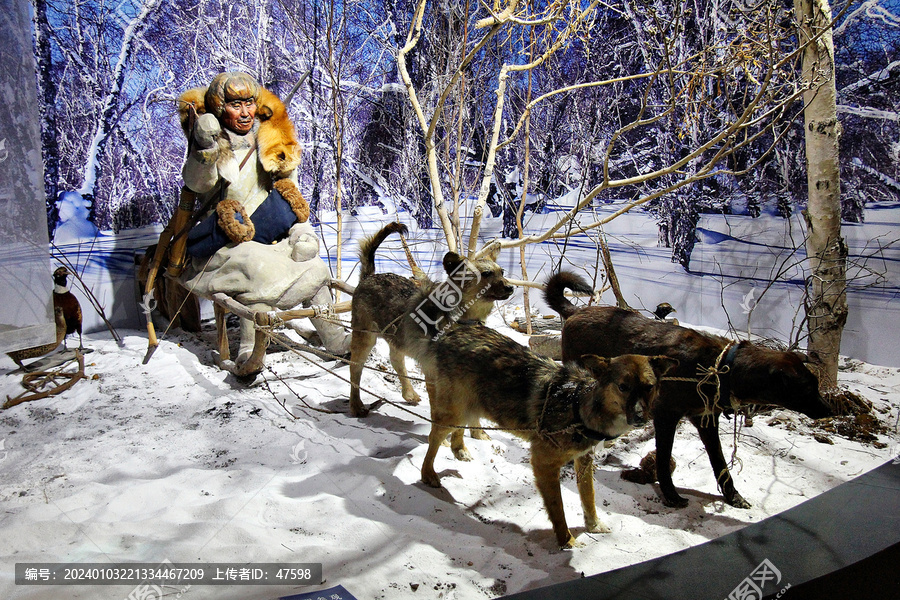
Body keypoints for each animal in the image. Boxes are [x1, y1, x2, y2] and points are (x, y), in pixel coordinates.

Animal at [348, 224, 512, 418]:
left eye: (502, 272)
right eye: (486, 274)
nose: (511, 288)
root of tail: (369, 277)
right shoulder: (435, 377)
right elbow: (439, 411)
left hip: (398, 339)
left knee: (397, 362)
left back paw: (409, 393)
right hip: (364, 339)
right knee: (355, 371)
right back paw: (356, 405)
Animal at [416, 322, 676, 552]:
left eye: (649, 387)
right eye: (623, 387)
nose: (641, 417)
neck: (578, 406)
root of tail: (453, 331)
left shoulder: (584, 460)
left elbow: (589, 498)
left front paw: (594, 526)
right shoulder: (544, 464)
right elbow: (558, 509)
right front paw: (567, 542)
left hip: (468, 409)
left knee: (455, 432)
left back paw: (460, 451)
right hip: (453, 412)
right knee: (433, 437)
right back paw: (428, 474)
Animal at [544, 274, 832, 508]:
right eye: (808, 388)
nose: (830, 410)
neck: (717, 368)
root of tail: (575, 312)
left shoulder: (706, 420)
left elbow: (720, 463)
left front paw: (733, 496)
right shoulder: (665, 416)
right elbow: (663, 459)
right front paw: (671, 496)